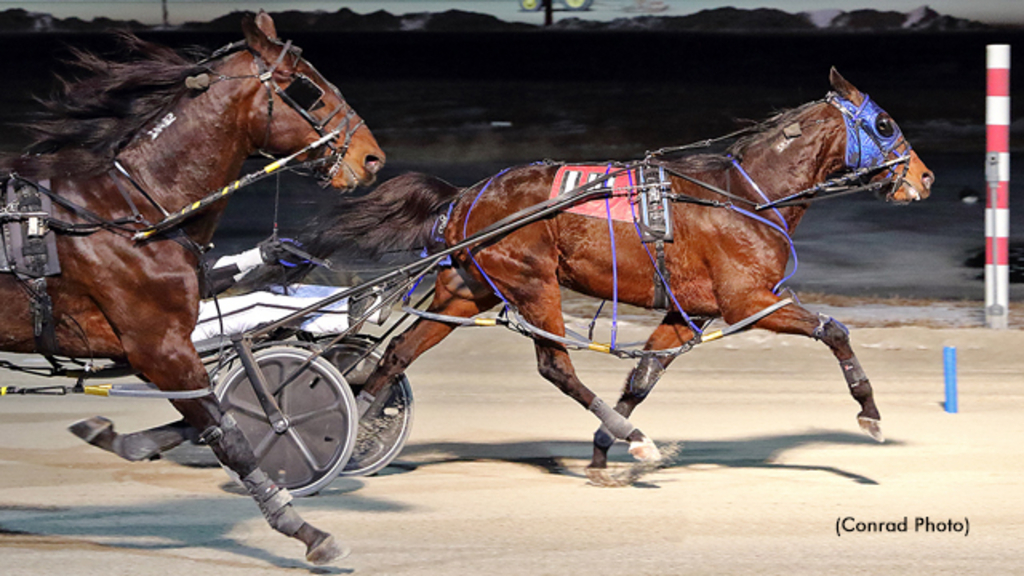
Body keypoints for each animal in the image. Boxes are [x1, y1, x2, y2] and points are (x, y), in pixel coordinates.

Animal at [0, 12, 385, 561]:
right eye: (306, 88)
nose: (372, 158)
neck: (133, 211)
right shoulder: (159, 346)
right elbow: (230, 432)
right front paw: (304, 529)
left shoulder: (164, 346)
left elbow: (209, 412)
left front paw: (118, 438)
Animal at [276, 67, 933, 479]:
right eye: (884, 124)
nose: (923, 177)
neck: (747, 195)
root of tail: (465, 197)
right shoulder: (749, 300)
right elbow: (834, 330)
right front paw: (871, 415)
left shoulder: (691, 311)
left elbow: (643, 376)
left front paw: (600, 452)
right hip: (532, 284)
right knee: (554, 366)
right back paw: (632, 437)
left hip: (469, 289)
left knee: (396, 355)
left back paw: (358, 429)